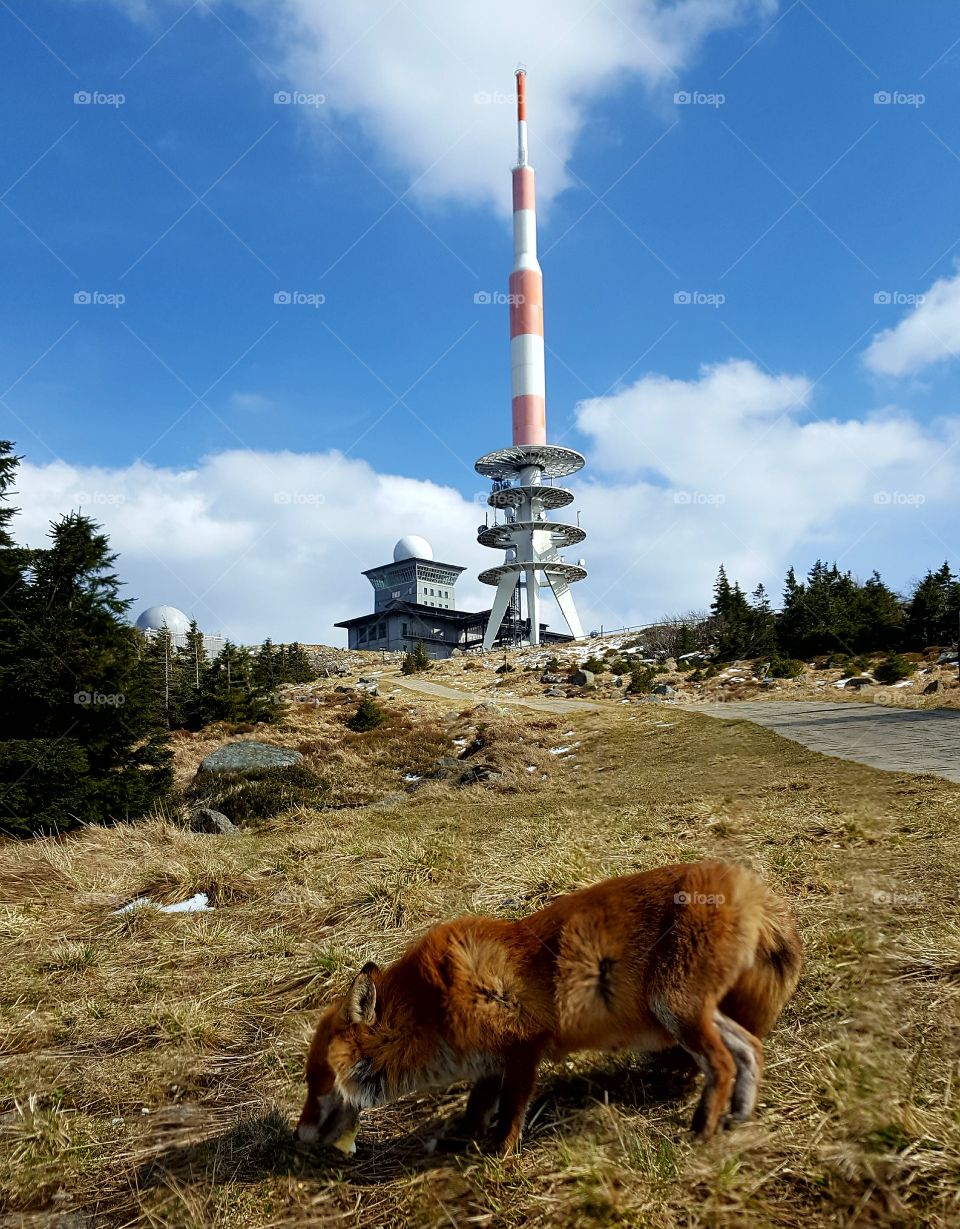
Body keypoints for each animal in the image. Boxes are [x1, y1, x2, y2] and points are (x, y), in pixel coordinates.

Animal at [296, 861, 801, 1155]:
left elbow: (510, 1112)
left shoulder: (523, 1047)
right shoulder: (489, 1061)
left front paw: (499, 1156)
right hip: (689, 1013)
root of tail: (747, 883)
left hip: (674, 1009)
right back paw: (739, 1113)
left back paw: (703, 1129)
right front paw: (462, 1139)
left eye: (316, 1079)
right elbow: (476, 1109)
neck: (433, 1004)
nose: (298, 1135)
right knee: (750, 1048)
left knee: (723, 1063)